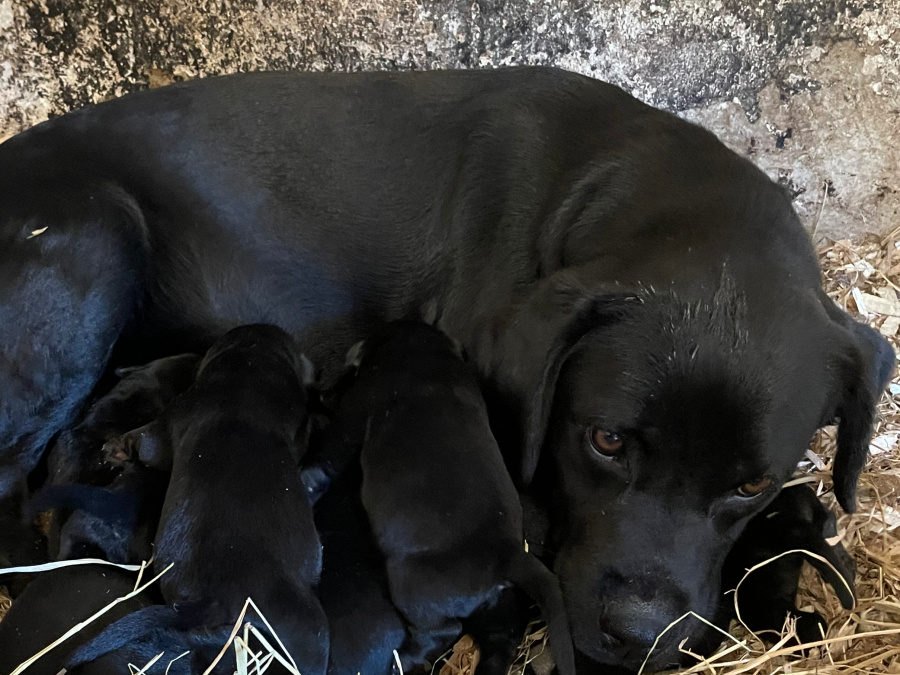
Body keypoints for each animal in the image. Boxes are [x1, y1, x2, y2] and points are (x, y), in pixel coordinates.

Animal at [98, 324, 330, 672]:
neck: (247, 368)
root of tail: (214, 601)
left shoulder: (173, 419)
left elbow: (147, 442)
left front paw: (117, 448)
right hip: (309, 628)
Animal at [326, 324, 576, 675]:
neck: (423, 351)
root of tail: (507, 553)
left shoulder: (355, 410)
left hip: (409, 585)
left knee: (442, 631)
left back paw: (402, 660)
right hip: (495, 609)